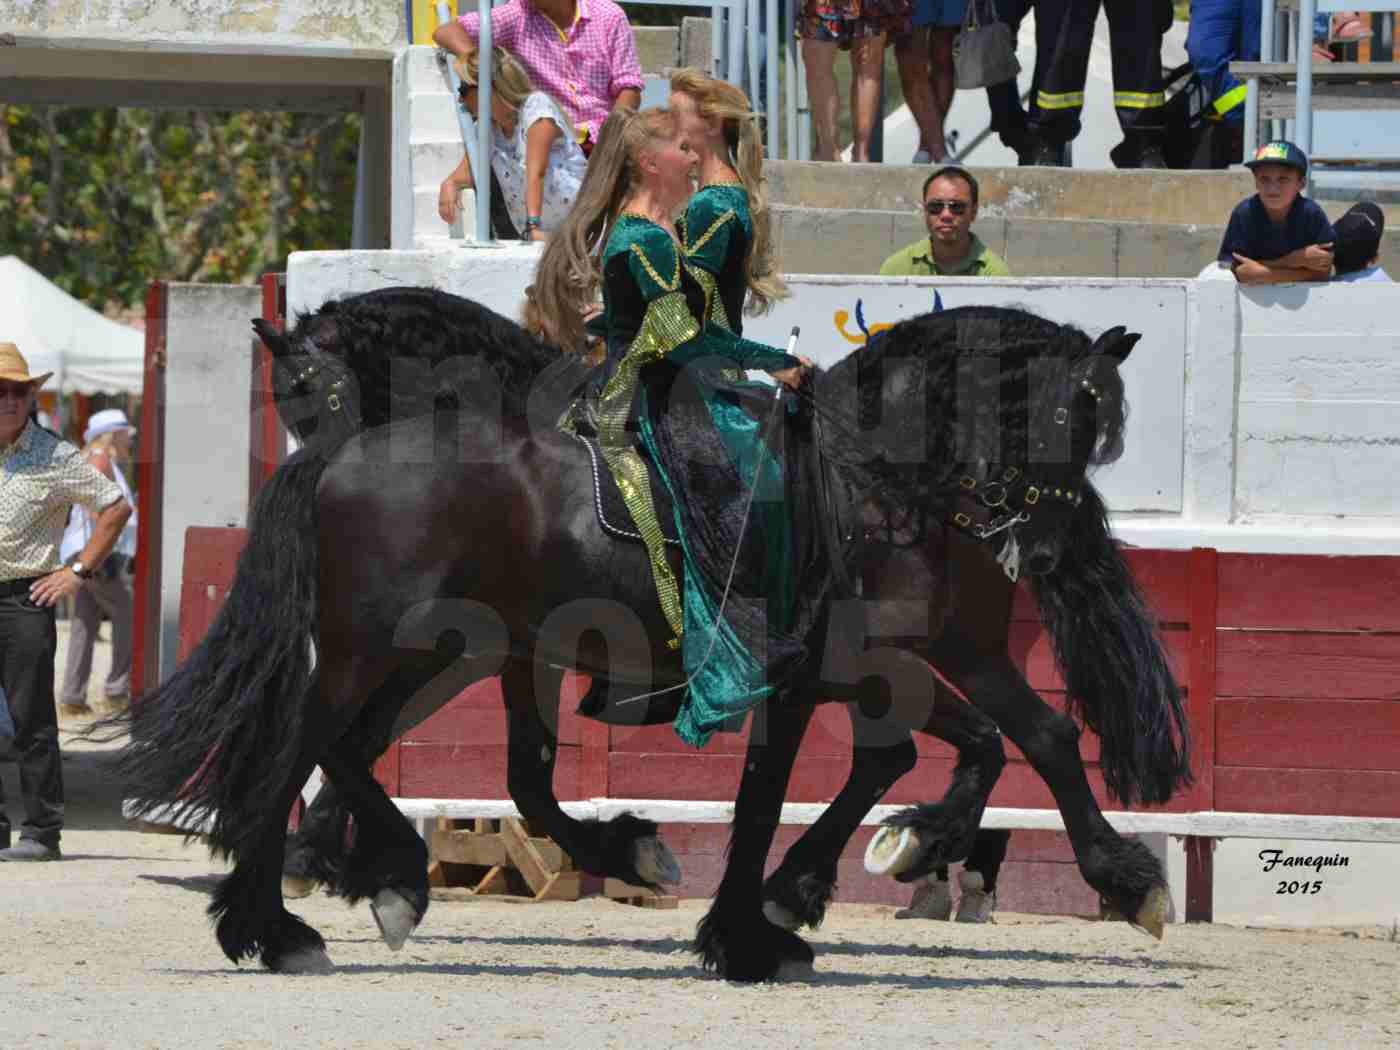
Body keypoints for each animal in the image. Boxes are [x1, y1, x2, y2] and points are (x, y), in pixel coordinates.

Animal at [123, 285, 1192, 980]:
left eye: (1093, 428)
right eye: (1061, 415)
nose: (1043, 546)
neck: (867, 479)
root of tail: (346, 464)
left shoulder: (874, 665)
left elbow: (1011, 741)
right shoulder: (815, 672)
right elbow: (759, 798)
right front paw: (748, 934)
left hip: (423, 650)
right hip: (382, 649)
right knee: (306, 745)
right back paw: (280, 921)